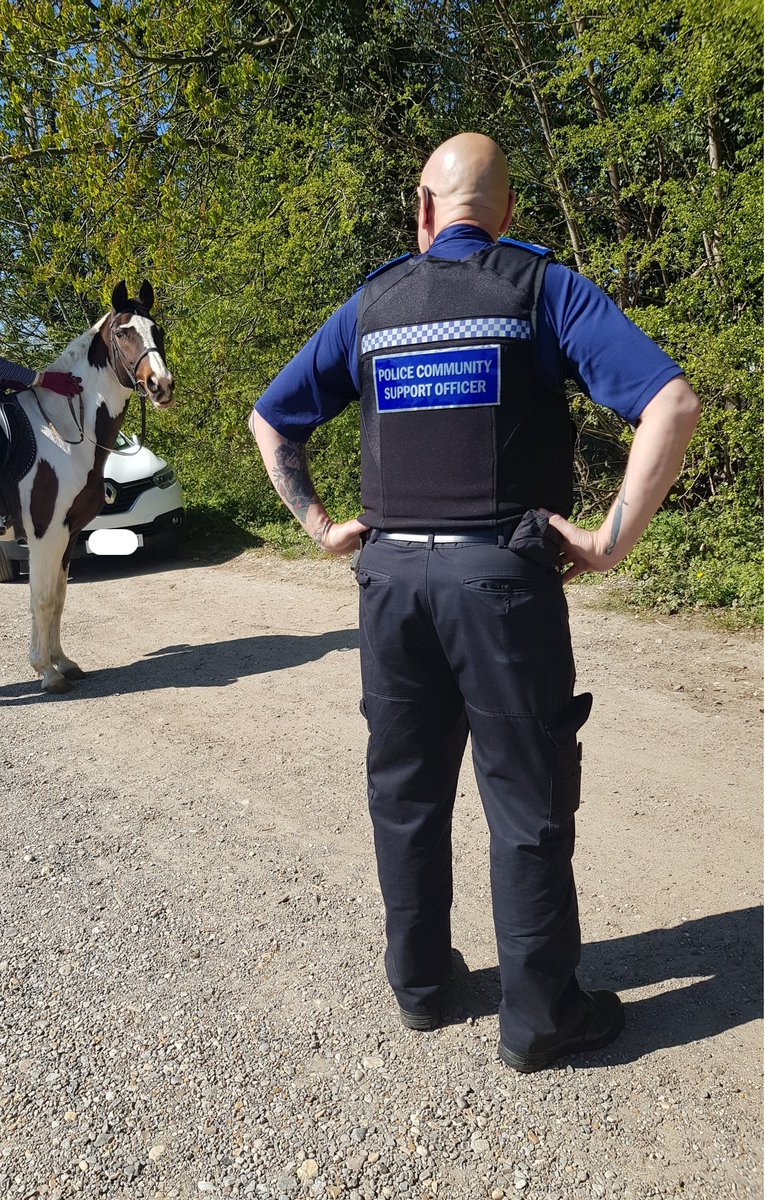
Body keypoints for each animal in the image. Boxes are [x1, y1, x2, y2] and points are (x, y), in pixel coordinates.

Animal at [3, 280, 173, 696]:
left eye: (157, 330)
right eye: (123, 333)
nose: (161, 386)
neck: (60, 430)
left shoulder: (67, 533)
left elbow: (60, 597)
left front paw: (64, 663)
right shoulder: (44, 534)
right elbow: (42, 598)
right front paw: (47, 673)